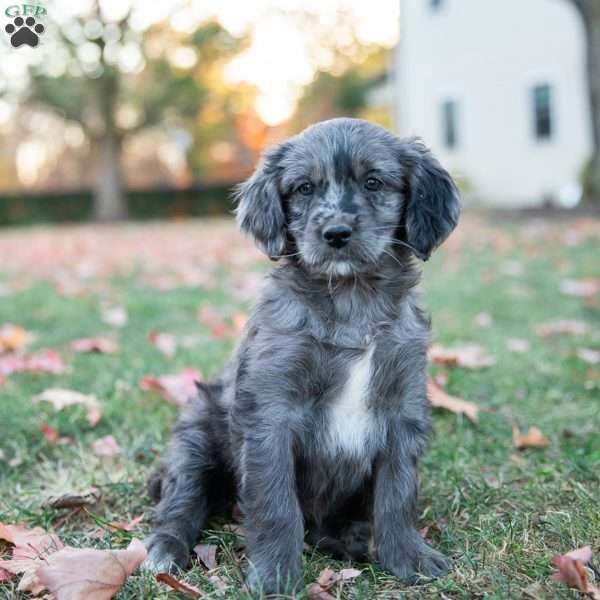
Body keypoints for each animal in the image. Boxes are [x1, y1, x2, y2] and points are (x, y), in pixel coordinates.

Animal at [143, 118, 462, 596]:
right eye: (304, 188)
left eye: (374, 182)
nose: (336, 234)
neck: (350, 299)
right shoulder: (271, 415)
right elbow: (276, 505)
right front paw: (276, 576)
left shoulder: (402, 408)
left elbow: (398, 494)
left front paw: (409, 558)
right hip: (194, 440)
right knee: (183, 500)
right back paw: (165, 549)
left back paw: (348, 537)